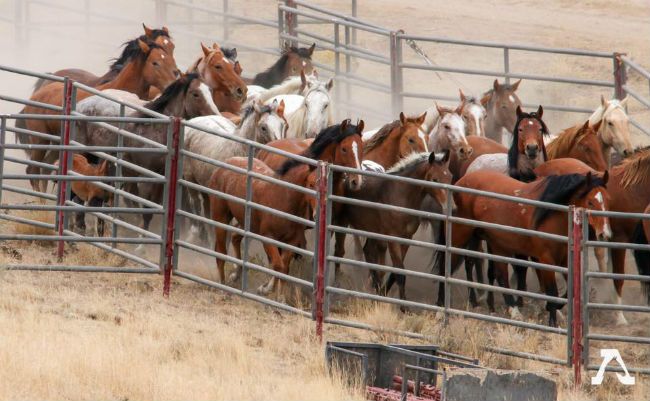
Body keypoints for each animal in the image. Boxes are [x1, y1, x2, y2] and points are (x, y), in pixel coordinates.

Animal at [432, 169, 612, 324]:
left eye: (607, 200)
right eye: (590, 202)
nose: (605, 234)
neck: (551, 214)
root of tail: (460, 182)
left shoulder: (564, 259)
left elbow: (570, 291)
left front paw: (552, 308)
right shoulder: (546, 259)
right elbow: (552, 291)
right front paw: (553, 322)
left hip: (496, 244)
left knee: (501, 275)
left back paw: (513, 311)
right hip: (458, 239)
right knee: (445, 268)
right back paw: (440, 309)